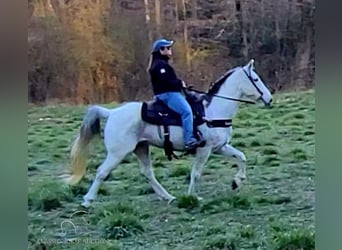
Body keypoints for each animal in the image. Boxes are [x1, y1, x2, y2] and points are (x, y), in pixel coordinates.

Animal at [64, 59, 272, 207]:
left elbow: (241, 157)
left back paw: (168, 197)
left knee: (147, 173)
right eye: (255, 79)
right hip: (118, 153)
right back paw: (88, 200)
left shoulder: (220, 147)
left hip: (141, 148)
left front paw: (237, 182)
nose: (269, 98)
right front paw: (193, 197)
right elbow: (196, 173)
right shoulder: (204, 150)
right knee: (101, 172)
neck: (213, 111)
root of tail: (111, 113)